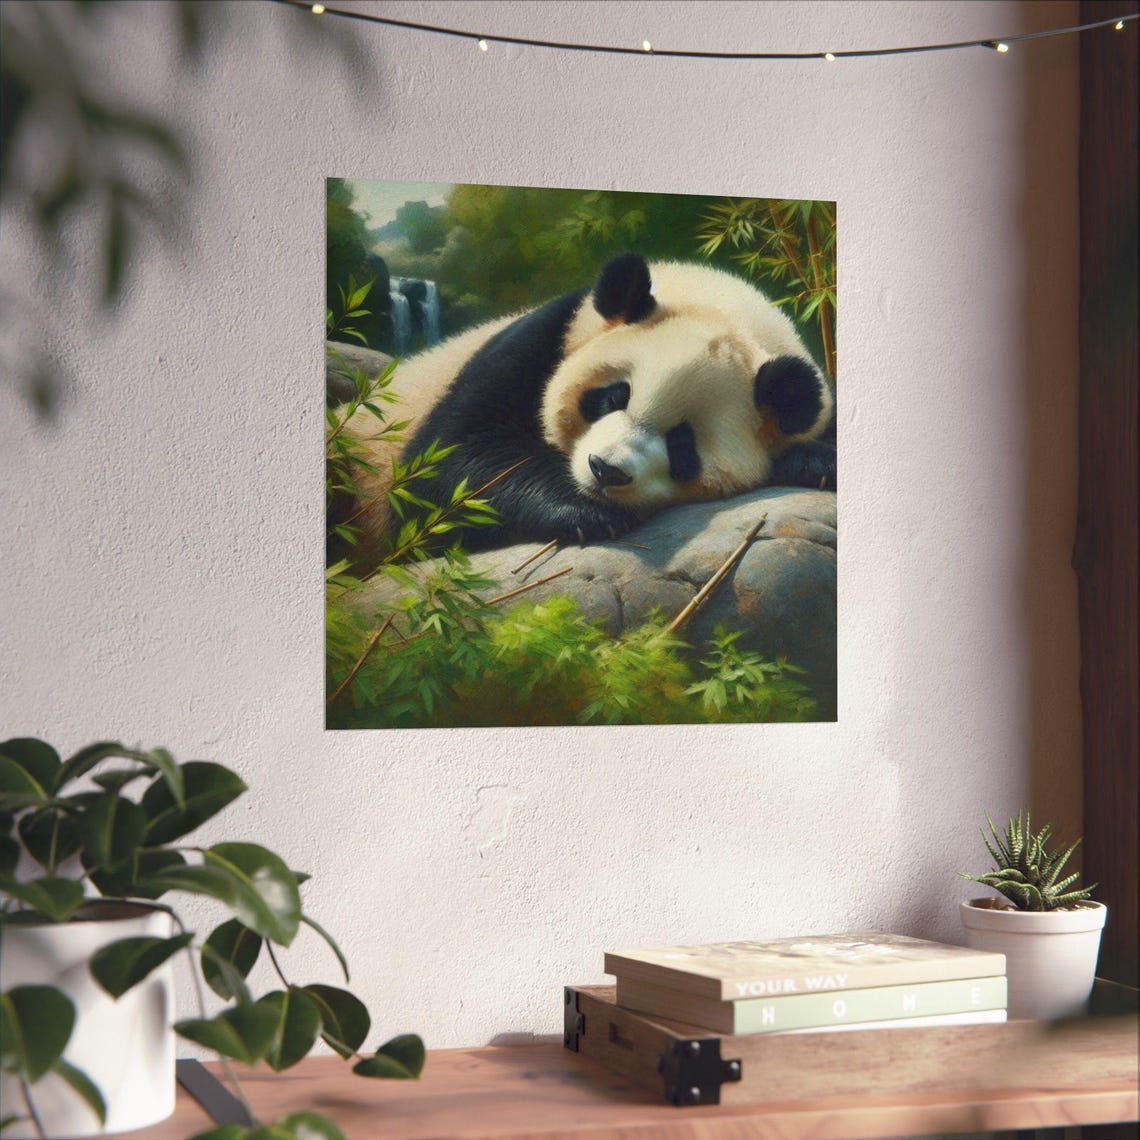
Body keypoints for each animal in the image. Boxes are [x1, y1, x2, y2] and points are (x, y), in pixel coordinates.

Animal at [341, 253, 835, 563]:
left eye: (682, 443)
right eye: (614, 396)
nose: (605, 470)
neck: (722, 303)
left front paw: (813, 462)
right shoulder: (540, 340)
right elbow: (448, 464)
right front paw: (583, 514)